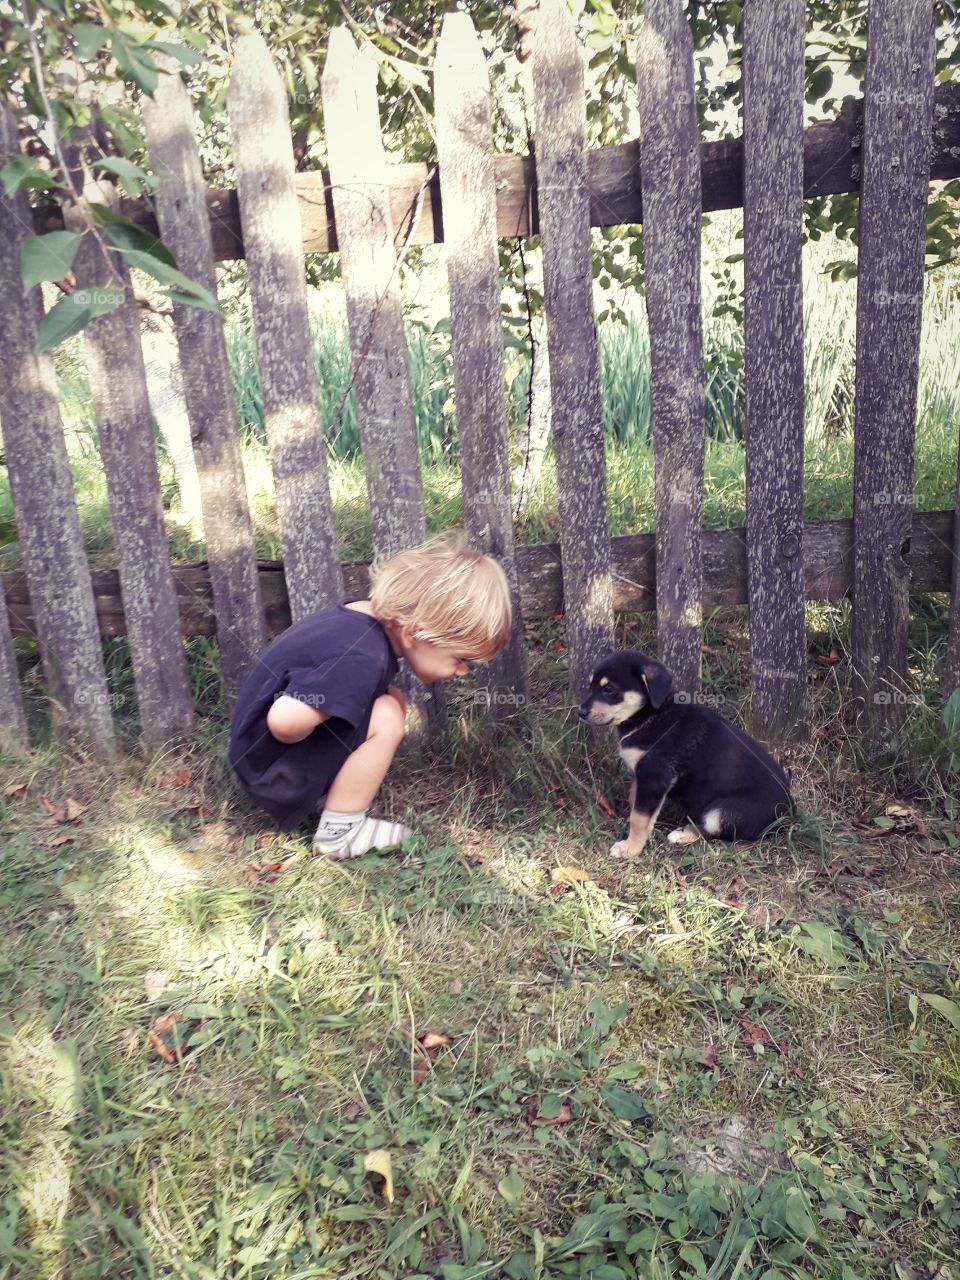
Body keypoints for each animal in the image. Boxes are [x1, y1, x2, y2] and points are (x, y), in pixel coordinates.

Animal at [583, 650, 793, 860]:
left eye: (609, 689)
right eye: (590, 685)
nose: (580, 712)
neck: (650, 716)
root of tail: (789, 808)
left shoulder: (654, 778)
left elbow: (639, 817)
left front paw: (630, 848)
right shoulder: (642, 777)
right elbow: (636, 803)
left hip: (720, 812)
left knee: (713, 830)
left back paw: (683, 835)